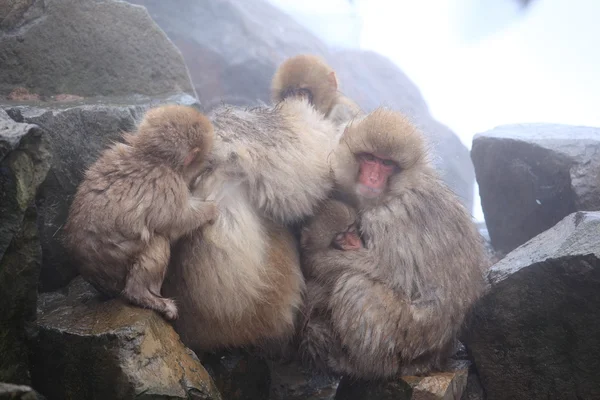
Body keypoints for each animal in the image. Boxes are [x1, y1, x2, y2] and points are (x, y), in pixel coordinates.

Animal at [63, 104, 217, 320]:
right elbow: (177, 221)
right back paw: (144, 296)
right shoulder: (167, 184)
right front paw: (211, 209)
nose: (210, 162)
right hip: (119, 270)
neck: (149, 155)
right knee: (157, 241)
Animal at [298, 108, 490, 380]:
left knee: (356, 285)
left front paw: (312, 260)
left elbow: (390, 272)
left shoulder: (390, 215)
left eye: (387, 164)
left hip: (409, 336)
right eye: (369, 158)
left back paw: (364, 366)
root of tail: (440, 353)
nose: (373, 177)